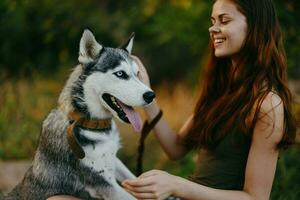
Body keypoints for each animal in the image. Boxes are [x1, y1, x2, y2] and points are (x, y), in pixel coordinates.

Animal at [5, 29, 155, 200]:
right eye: (120, 74)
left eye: (137, 73)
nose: (151, 95)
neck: (88, 122)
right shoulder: (103, 183)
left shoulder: (113, 160)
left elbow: (133, 177)